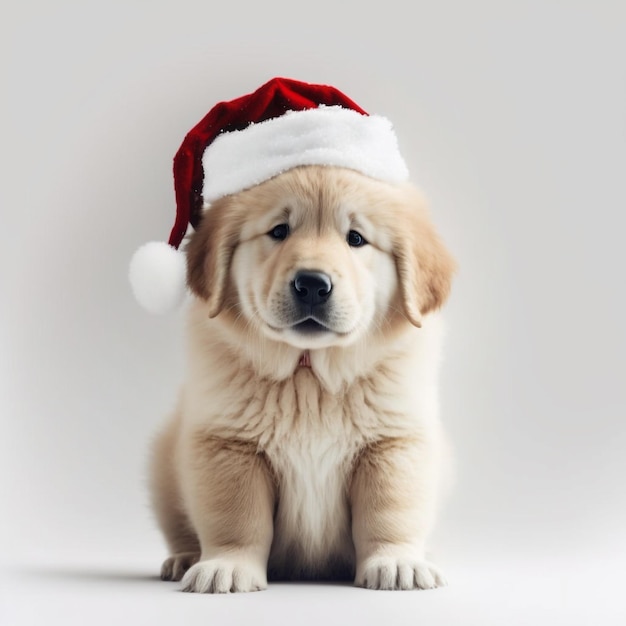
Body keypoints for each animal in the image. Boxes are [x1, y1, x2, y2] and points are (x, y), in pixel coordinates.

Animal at [150, 162, 454, 588]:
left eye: (356, 238)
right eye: (279, 231)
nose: (312, 285)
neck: (310, 374)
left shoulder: (394, 443)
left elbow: (390, 513)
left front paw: (397, 563)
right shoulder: (227, 444)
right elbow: (237, 519)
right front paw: (227, 565)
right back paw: (183, 558)